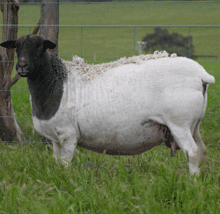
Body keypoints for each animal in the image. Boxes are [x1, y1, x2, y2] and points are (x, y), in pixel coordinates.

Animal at [0, 34, 215, 176]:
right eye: (17, 47)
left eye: (40, 47)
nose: (22, 66)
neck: (55, 83)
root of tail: (201, 75)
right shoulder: (55, 138)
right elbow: (57, 163)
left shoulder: (68, 135)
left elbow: (65, 165)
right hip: (193, 124)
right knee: (202, 151)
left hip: (179, 123)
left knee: (193, 152)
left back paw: (191, 183)